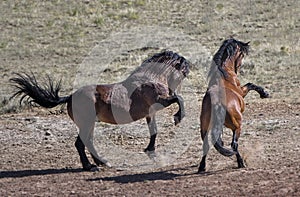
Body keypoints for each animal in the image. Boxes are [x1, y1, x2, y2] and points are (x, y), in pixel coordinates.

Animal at [11, 50, 192, 171]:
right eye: (183, 69)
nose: (172, 88)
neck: (149, 79)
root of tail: (70, 97)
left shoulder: (150, 113)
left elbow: (154, 132)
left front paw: (150, 152)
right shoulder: (161, 101)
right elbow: (179, 99)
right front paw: (178, 117)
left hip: (89, 124)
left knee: (88, 141)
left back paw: (102, 162)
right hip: (86, 123)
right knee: (80, 143)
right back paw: (91, 166)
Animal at [198, 38, 270, 172]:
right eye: (242, 55)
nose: (239, 67)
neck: (224, 75)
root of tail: (217, 103)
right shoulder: (242, 91)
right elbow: (250, 84)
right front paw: (264, 93)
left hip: (204, 128)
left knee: (206, 144)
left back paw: (202, 166)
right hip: (237, 126)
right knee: (234, 145)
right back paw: (241, 162)